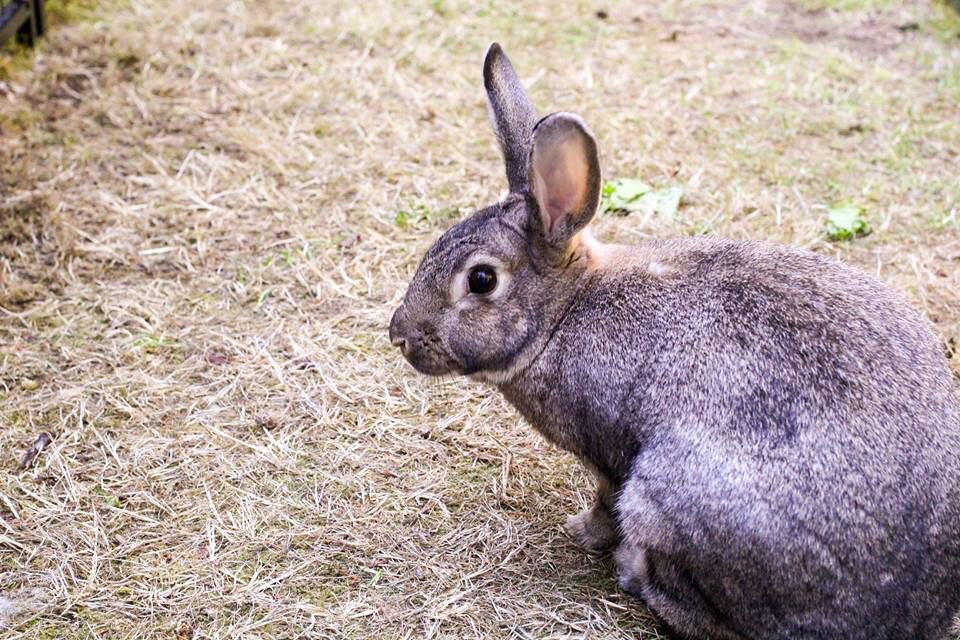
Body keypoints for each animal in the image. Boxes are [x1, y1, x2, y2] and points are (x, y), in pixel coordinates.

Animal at [388, 42, 960, 640]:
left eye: (481, 280)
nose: (399, 335)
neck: (565, 311)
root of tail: (912, 611)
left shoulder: (609, 457)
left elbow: (604, 501)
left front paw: (580, 531)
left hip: (668, 499)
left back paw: (636, 575)